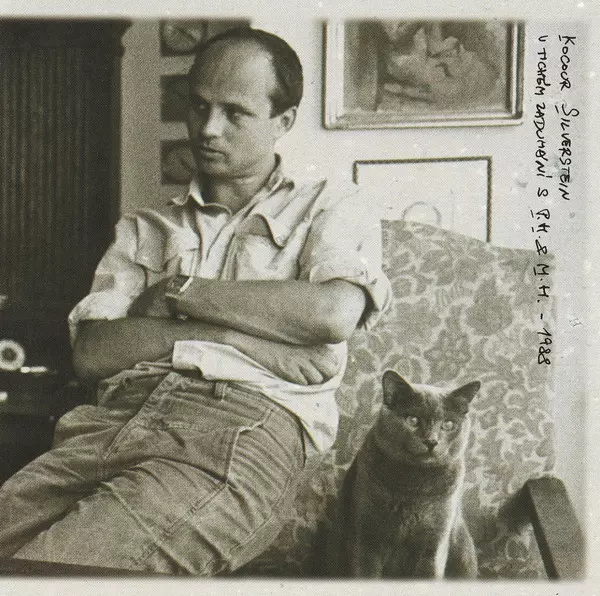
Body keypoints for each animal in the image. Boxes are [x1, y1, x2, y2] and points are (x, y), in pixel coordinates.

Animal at [326, 370, 480, 578]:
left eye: (448, 424)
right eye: (413, 420)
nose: (431, 441)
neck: (414, 486)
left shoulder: (434, 543)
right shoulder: (366, 538)